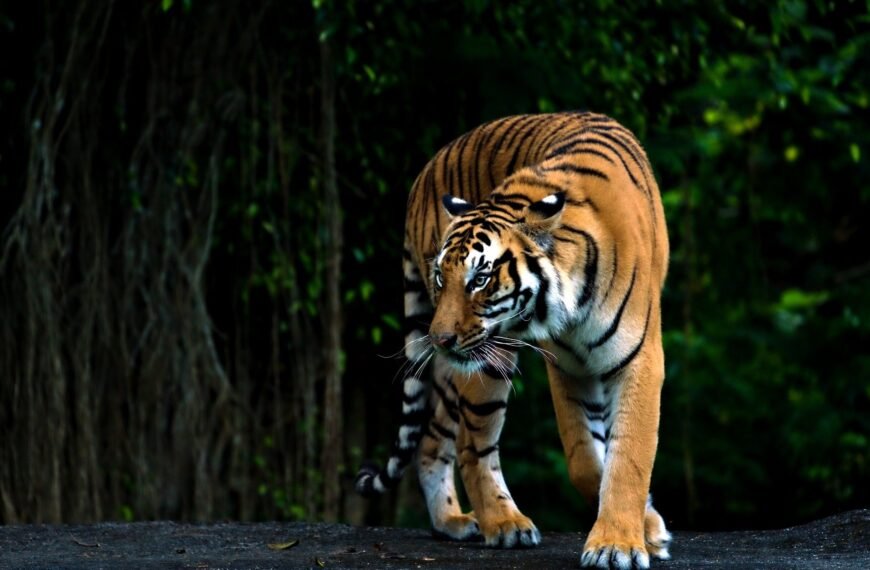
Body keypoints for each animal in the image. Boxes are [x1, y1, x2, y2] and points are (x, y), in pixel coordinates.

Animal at [354, 112, 676, 568]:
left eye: (480, 279)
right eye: (441, 277)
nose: (440, 338)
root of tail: (422, 175)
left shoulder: (636, 360)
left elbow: (627, 454)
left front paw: (621, 542)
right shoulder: (567, 367)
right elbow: (583, 458)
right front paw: (637, 533)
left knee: (433, 439)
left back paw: (450, 522)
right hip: (486, 360)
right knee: (470, 446)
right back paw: (504, 524)